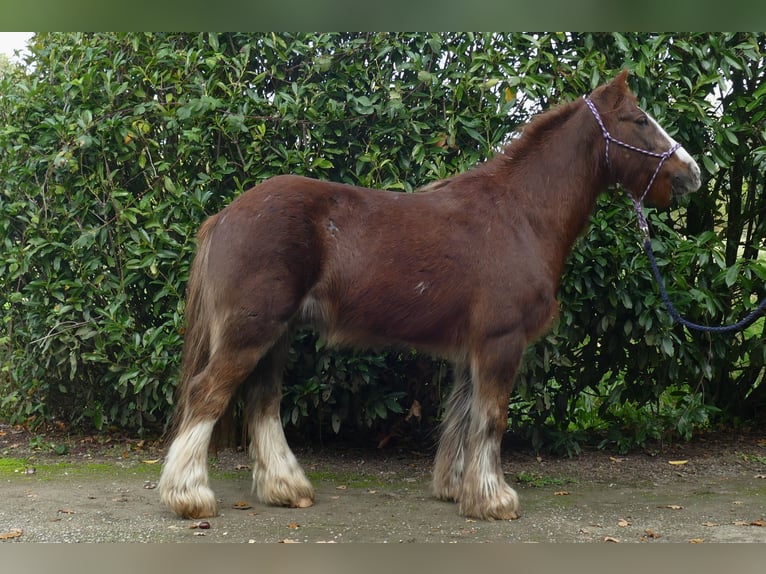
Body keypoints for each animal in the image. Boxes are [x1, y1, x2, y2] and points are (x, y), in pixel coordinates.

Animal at [159, 71, 704, 520]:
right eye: (639, 120)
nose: (691, 173)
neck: (521, 214)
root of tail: (224, 216)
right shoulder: (501, 342)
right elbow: (491, 419)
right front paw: (494, 500)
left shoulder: (473, 348)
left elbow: (463, 416)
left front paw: (458, 489)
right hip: (252, 330)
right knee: (208, 393)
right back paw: (189, 496)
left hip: (276, 335)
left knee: (263, 402)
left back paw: (286, 488)